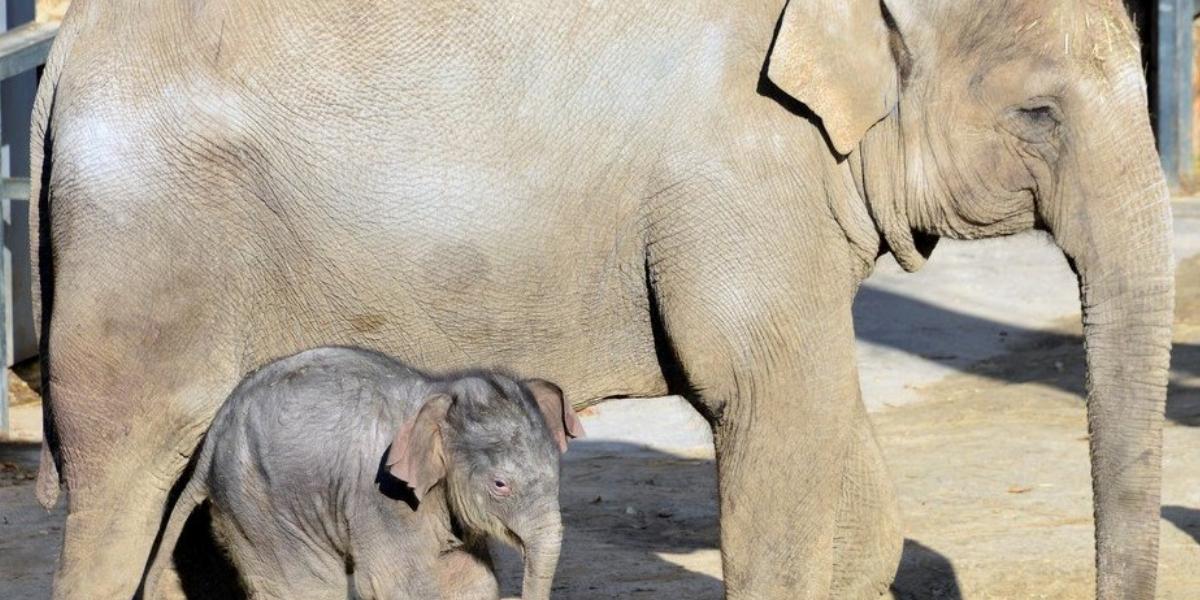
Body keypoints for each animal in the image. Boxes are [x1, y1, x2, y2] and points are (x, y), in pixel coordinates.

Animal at [145, 345, 585, 597]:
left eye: (557, 474)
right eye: (500, 485)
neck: (437, 392)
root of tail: (211, 441)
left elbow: (471, 580)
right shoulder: (384, 497)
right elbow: (402, 583)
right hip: (259, 507)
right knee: (309, 586)